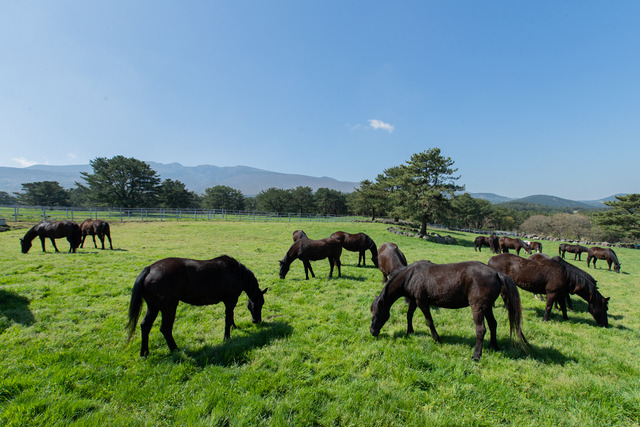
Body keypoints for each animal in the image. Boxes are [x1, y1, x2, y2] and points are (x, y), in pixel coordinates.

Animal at [126, 254, 266, 358]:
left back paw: (144, 352)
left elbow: (230, 316)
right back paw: (175, 349)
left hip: (153, 306)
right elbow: (228, 317)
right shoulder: (230, 300)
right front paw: (227, 336)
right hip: (169, 307)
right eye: (259, 303)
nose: (257, 320)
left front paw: (234, 327)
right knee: (165, 329)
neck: (237, 273)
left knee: (145, 326)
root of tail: (149, 269)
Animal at [368, 260, 528, 362]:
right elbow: (409, 315)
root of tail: (496, 273)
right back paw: (494, 346)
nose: (372, 332)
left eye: (377, 313)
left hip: (477, 307)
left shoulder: (422, 302)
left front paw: (436, 339)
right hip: (487, 307)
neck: (411, 275)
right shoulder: (414, 301)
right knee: (493, 324)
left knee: (481, 329)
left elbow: (429, 321)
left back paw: (476, 355)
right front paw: (410, 332)